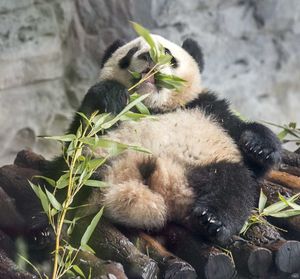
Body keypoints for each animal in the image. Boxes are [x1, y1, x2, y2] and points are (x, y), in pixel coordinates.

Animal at [47, 34, 282, 245]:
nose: (149, 55)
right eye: (132, 51)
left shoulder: (208, 109)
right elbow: (77, 137)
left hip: (209, 165)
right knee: (60, 182)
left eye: (168, 54)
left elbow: (247, 146)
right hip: (91, 169)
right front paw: (111, 94)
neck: (151, 105)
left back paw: (212, 221)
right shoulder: (106, 125)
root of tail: (163, 192)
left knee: (234, 187)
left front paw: (259, 148)